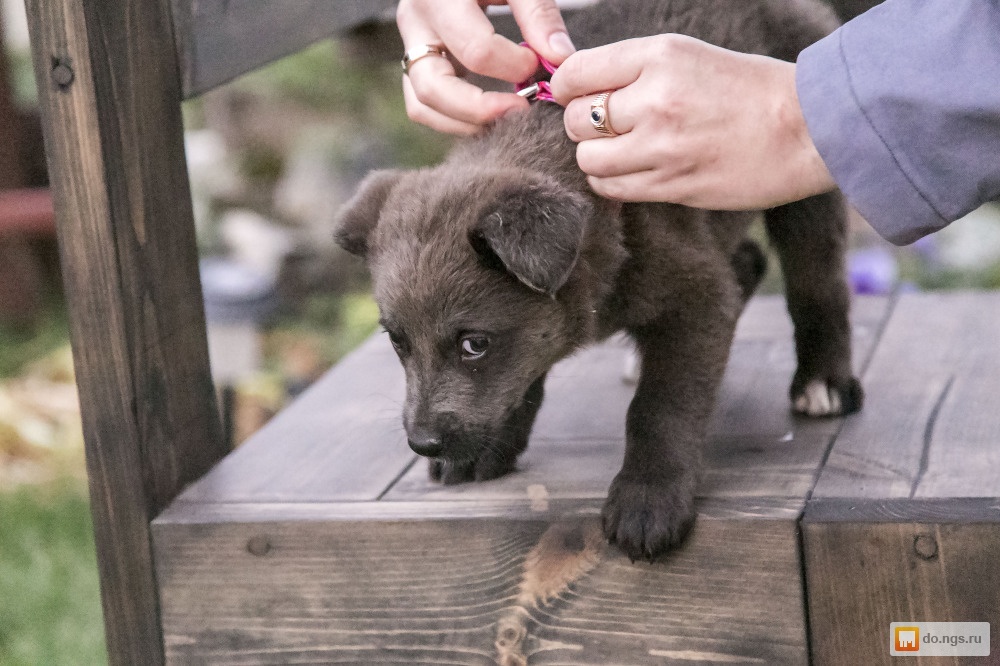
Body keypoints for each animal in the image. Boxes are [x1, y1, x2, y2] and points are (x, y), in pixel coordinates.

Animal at [334, 0, 860, 560]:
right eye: (397, 341)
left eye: (474, 344)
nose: (422, 443)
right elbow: (522, 380)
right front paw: (489, 447)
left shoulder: (693, 296)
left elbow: (661, 405)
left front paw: (648, 496)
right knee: (748, 262)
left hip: (795, 182)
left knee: (816, 280)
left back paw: (823, 381)